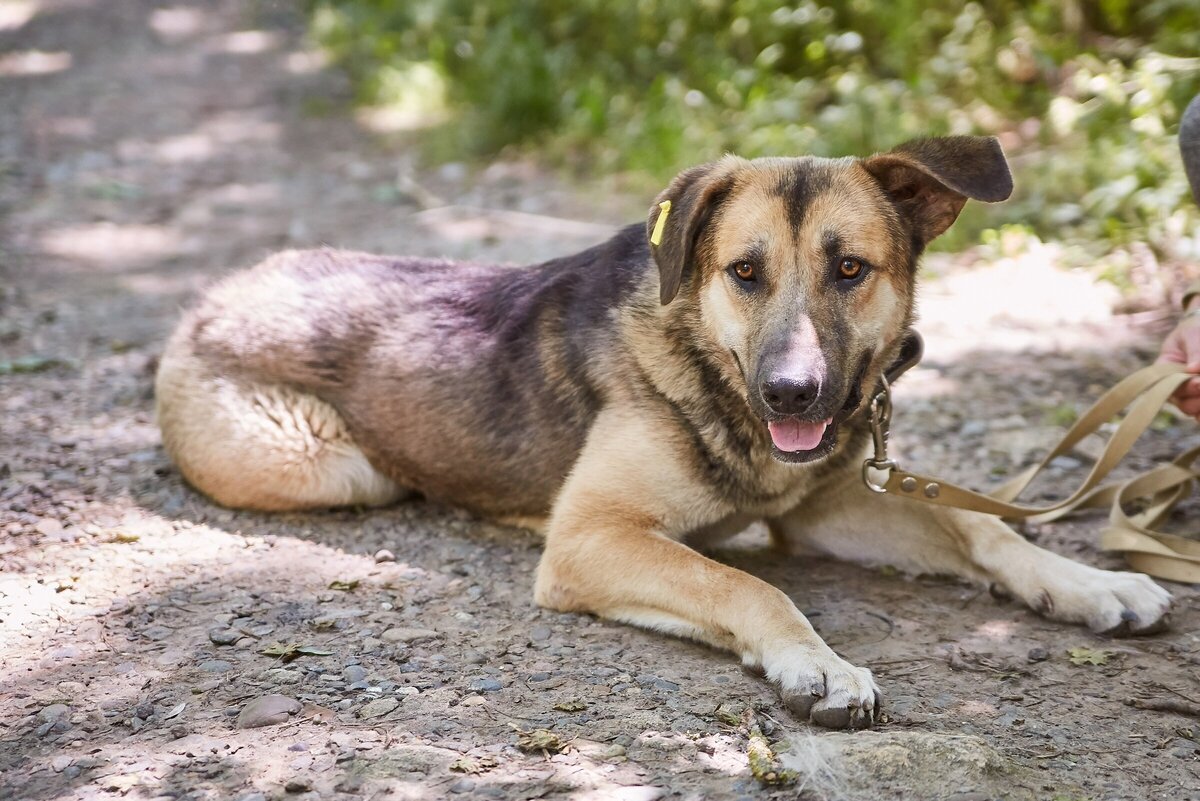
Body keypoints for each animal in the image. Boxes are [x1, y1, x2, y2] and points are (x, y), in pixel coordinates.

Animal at [157, 136, 1171, 724]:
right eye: (744, 272)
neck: (714, 372)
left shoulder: (823, 507)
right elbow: (747, 584)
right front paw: (817, 663)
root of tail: (214, 292)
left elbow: (984, 525)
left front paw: (1091, 582)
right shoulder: (592, 536)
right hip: (333, 467)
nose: (792, 395)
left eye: (850, 268)